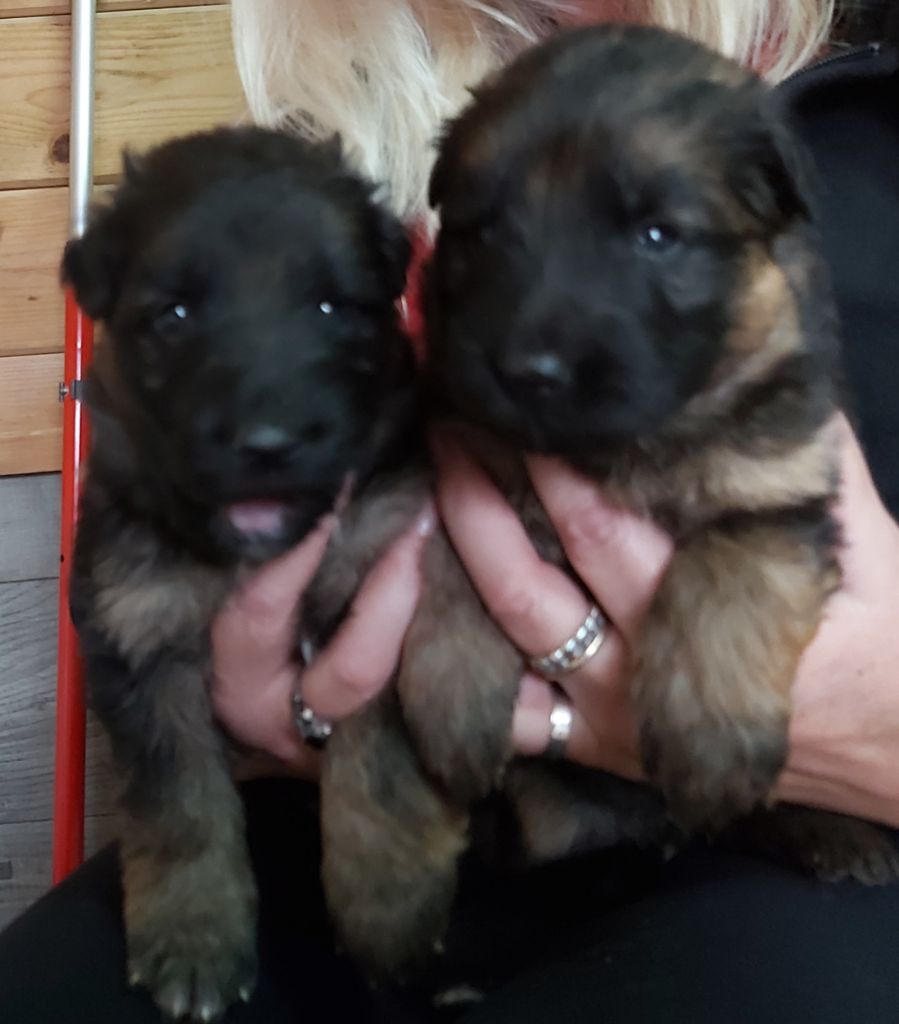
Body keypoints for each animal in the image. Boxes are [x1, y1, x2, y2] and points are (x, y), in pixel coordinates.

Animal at [62, 125, 421, 1015]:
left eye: (330, 308)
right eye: (175, 315)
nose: (268, 442)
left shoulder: (385, 595)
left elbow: (380, 776)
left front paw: (388, 914)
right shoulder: (141, 636)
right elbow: (180, 806)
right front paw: (193, 942)